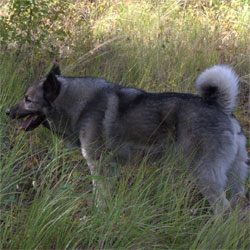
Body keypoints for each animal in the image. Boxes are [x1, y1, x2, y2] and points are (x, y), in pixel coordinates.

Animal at [5, 63, 248, 213]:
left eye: (28, 100)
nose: (7, 111)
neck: (79, 104)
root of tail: (222, 108)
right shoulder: (110, 168)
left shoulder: (98, 165)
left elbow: (100, 197)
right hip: (233, 179)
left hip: (204, 175)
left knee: (223, 210)